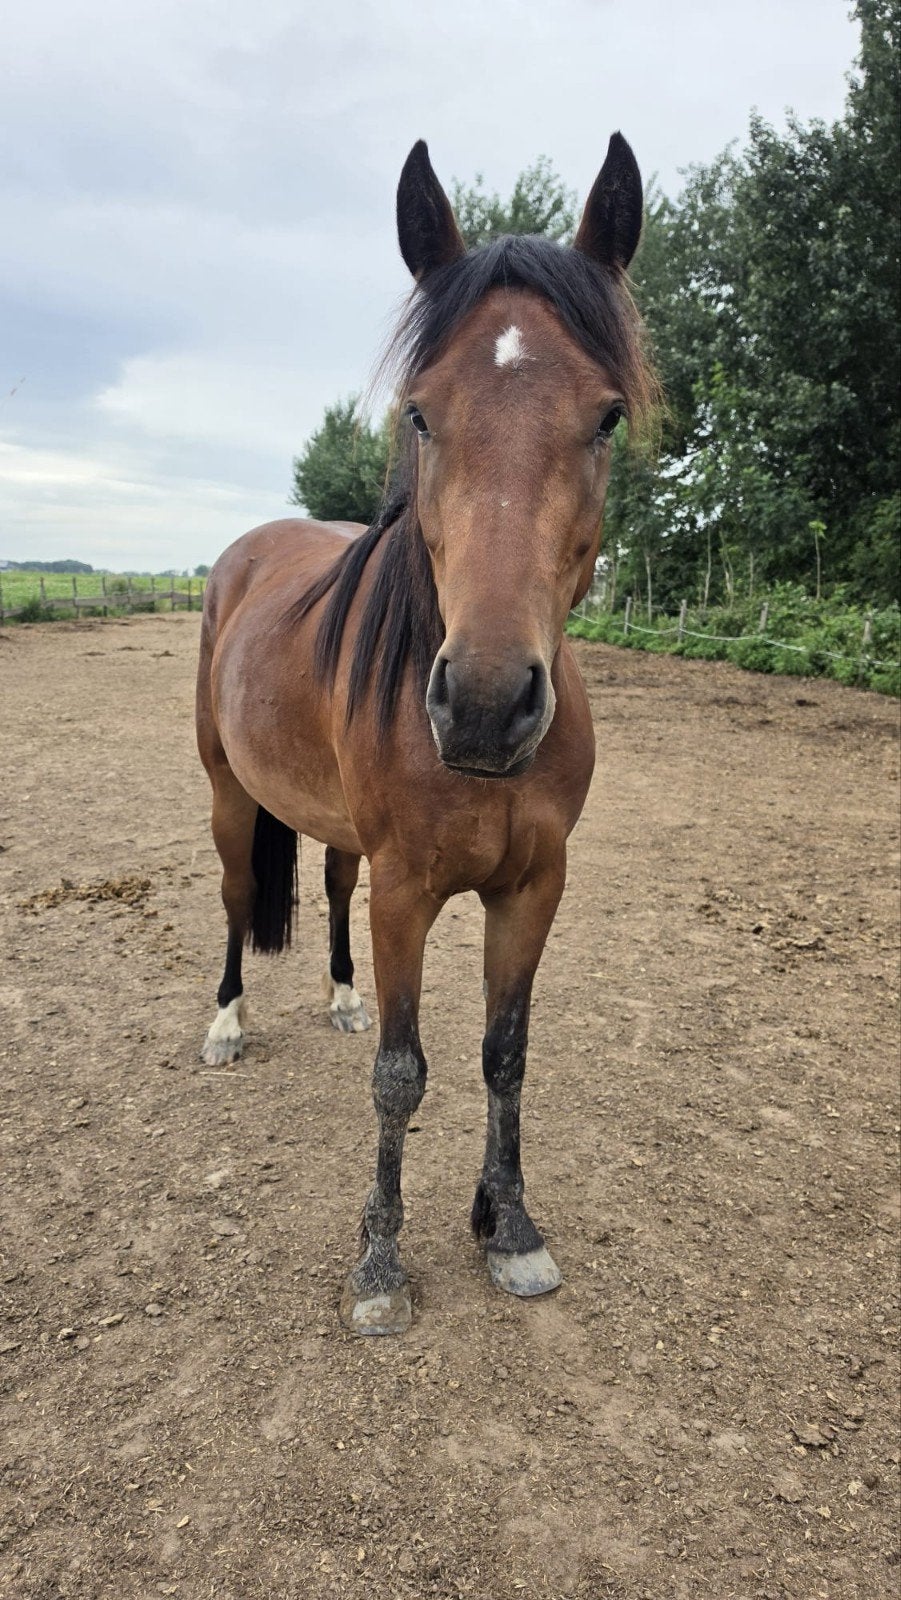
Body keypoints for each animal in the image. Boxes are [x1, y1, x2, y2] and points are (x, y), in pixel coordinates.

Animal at [196, 133, 656, 1335]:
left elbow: (505, 1054)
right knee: (235, 899)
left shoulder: (532, 887)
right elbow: (404, 1077)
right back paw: (224, 1025)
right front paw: (381, 1261)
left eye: (605, 417)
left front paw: (509, 1225)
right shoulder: (409, 890)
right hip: (227, 794)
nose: (488, 705)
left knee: (329, 891)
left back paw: (342, 998)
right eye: (419, 412)